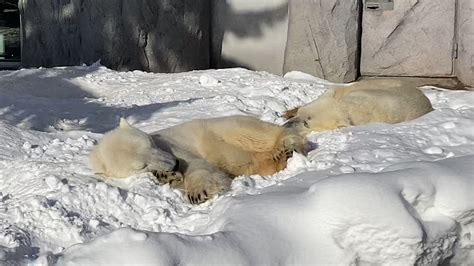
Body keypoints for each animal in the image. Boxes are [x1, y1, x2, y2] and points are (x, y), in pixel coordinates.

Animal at [89, 115, 304, 205]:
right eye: (142, 165)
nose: (174, 163)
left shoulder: (172, 146)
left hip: (226, 127)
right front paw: (168, 176)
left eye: (149, 143)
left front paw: (198, 193)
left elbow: (198, 165)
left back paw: (286, 148)